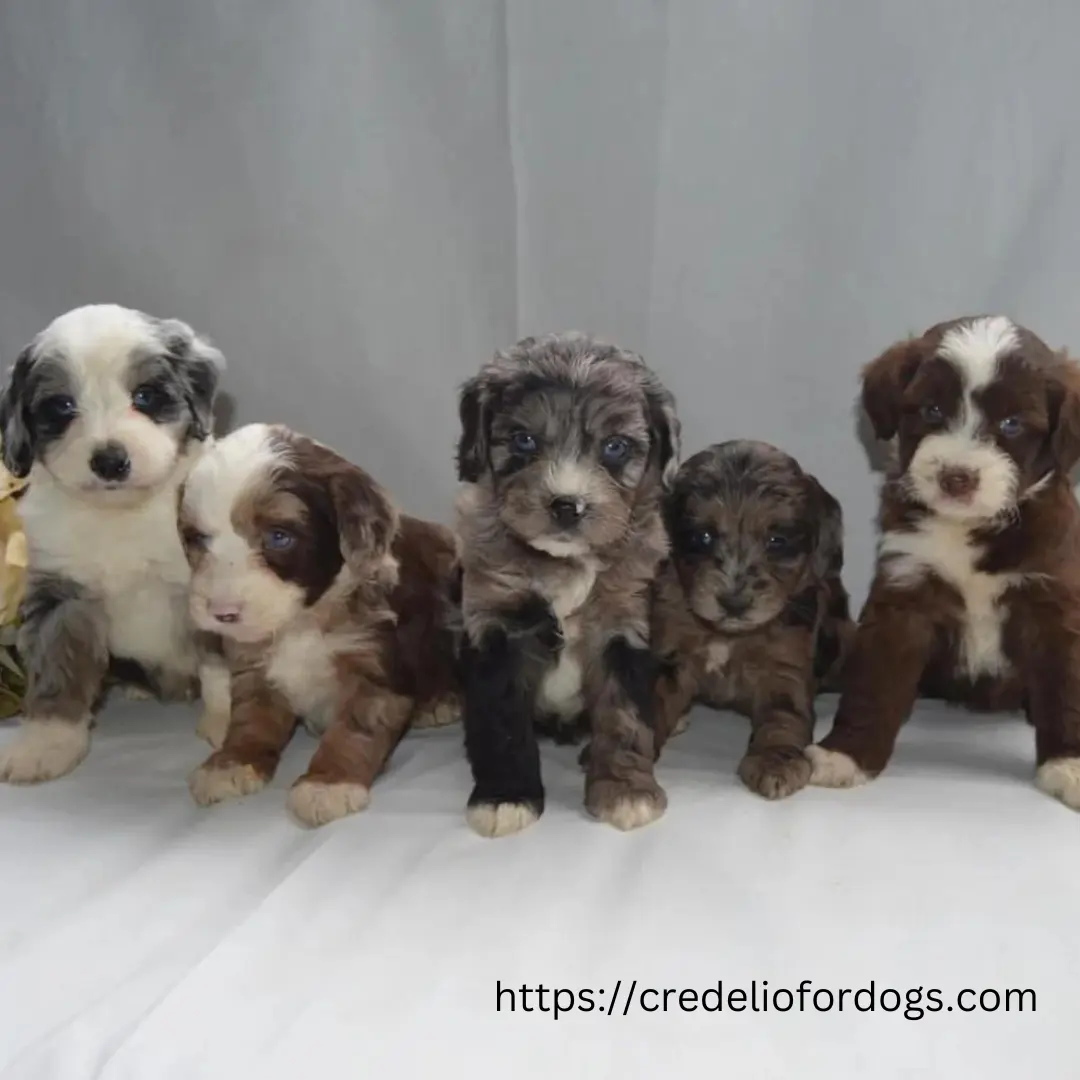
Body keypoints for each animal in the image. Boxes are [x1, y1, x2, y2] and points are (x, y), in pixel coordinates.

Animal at [0, 304, 224, 786]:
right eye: (62, 406)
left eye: (146, 395)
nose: (109, 461)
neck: (119, 514)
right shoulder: (61, 597)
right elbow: (57, 671)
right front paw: (46, 745)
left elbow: (222, 668)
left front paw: (229, 724)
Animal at [178, 421, 464, 825]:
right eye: (197, 539)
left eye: (279, 536)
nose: (222, 613)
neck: (302, 621)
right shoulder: (253, 667)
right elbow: (249, 719)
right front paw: (230, 764)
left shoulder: (375, 668)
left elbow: (354, 732)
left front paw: (328, 784)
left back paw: (438, 703)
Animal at [457, 332, 682, 838]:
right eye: (524, 439)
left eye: (615, 447)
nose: (566, 505)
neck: (564, 562)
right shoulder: (498, 623)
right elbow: (502, 722)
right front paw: (505, 798)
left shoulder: (623, 627)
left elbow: (624, 718)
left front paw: (626, 791)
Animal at [648, 440, 851, 803]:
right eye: (703, 537)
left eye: (776, 541)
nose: (734, 602)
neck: (729, 636)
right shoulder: (670, 656)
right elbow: (652, 705)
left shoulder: (786, 669)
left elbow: (783, 718)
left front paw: (775, 763)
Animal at [812, 313, 1080, 812]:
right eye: (932, 411)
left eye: (1012, 423)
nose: (958, 477)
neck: (970, 528)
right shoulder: (905, 593)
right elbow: (873, 683)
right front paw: (846, 755)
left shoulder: (1052, 601)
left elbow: (1066, 685)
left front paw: (1068, 765)